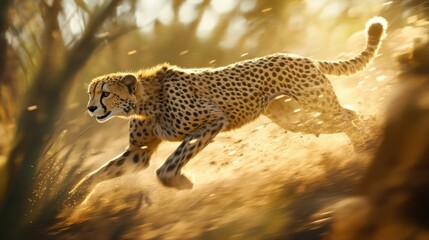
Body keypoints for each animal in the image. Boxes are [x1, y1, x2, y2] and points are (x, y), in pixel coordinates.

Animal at [68, 16, 386, 202]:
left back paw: (370, 145)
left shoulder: (212, 120)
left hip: (316, 105)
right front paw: (74, 198)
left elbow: (170, 163)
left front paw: (179, 181)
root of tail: (302, 57)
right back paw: (364, 147)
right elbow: (100, 172)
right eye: (90, 93)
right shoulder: (139, 152)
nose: (91, 108)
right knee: (348, 115)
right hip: (296, 118)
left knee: (349, 116)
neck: (144, 101)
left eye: (105, 93)